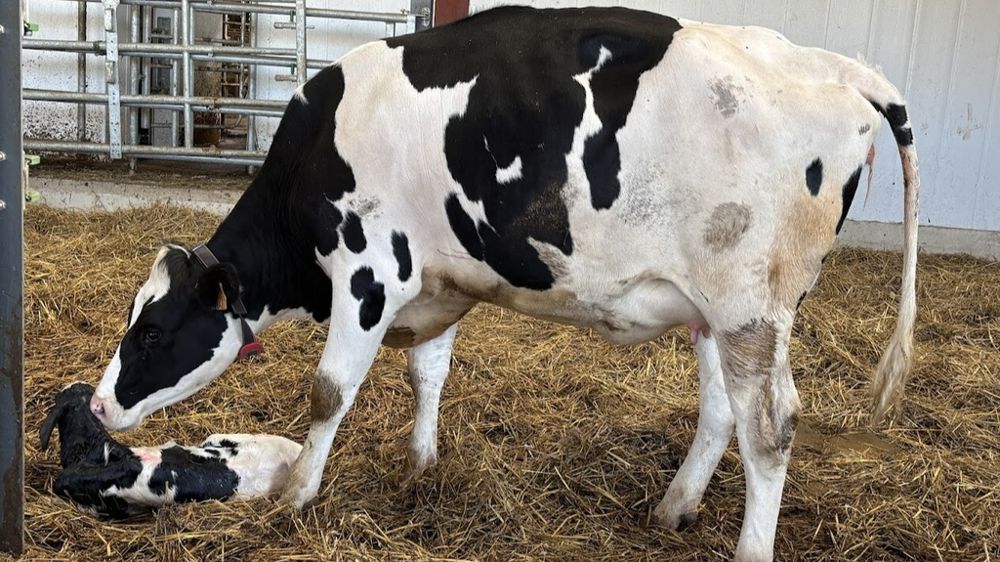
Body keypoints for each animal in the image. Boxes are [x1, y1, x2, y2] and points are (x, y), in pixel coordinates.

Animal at [87, 6, 919, 560]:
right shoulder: (442, 277)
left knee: (770, 429)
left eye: (152, 331)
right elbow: (428, 372)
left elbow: (329, 391)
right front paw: (421, 464)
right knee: (723, 413)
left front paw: (297, 493)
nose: (95, 405)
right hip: (712, 311)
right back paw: (673, 508)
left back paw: (747, 544)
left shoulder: (370, 270)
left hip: (752, 308)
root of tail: (830, 67)